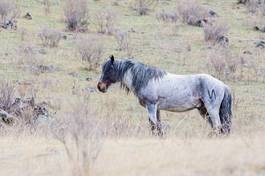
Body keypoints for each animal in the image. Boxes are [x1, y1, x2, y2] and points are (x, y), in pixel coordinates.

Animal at [96, 55, 231, 135]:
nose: (100, 87)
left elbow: (154, 126)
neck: (146, 79)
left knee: (218, 127)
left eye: (109, 69)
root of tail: (223, 85)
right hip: (203, 110)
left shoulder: (151, 106)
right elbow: (157, 126)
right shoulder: (156, 109)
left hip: (211, 110)